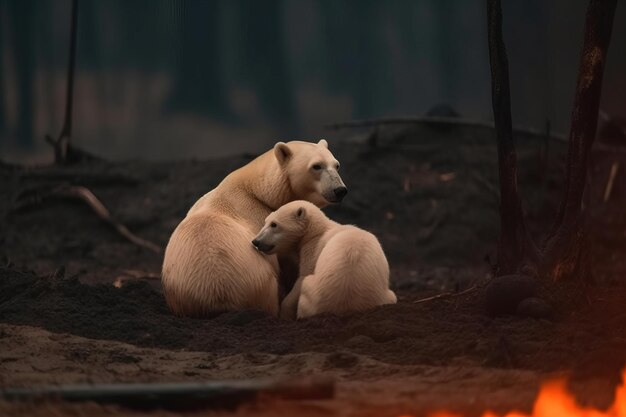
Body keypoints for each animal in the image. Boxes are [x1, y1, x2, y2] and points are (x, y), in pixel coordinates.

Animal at [161, 139, 346, 316]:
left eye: (336, 165)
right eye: (316, 166)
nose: (340, 190)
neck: (256, 192)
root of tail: (217, 297)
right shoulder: (262, 220)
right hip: (260, 283)